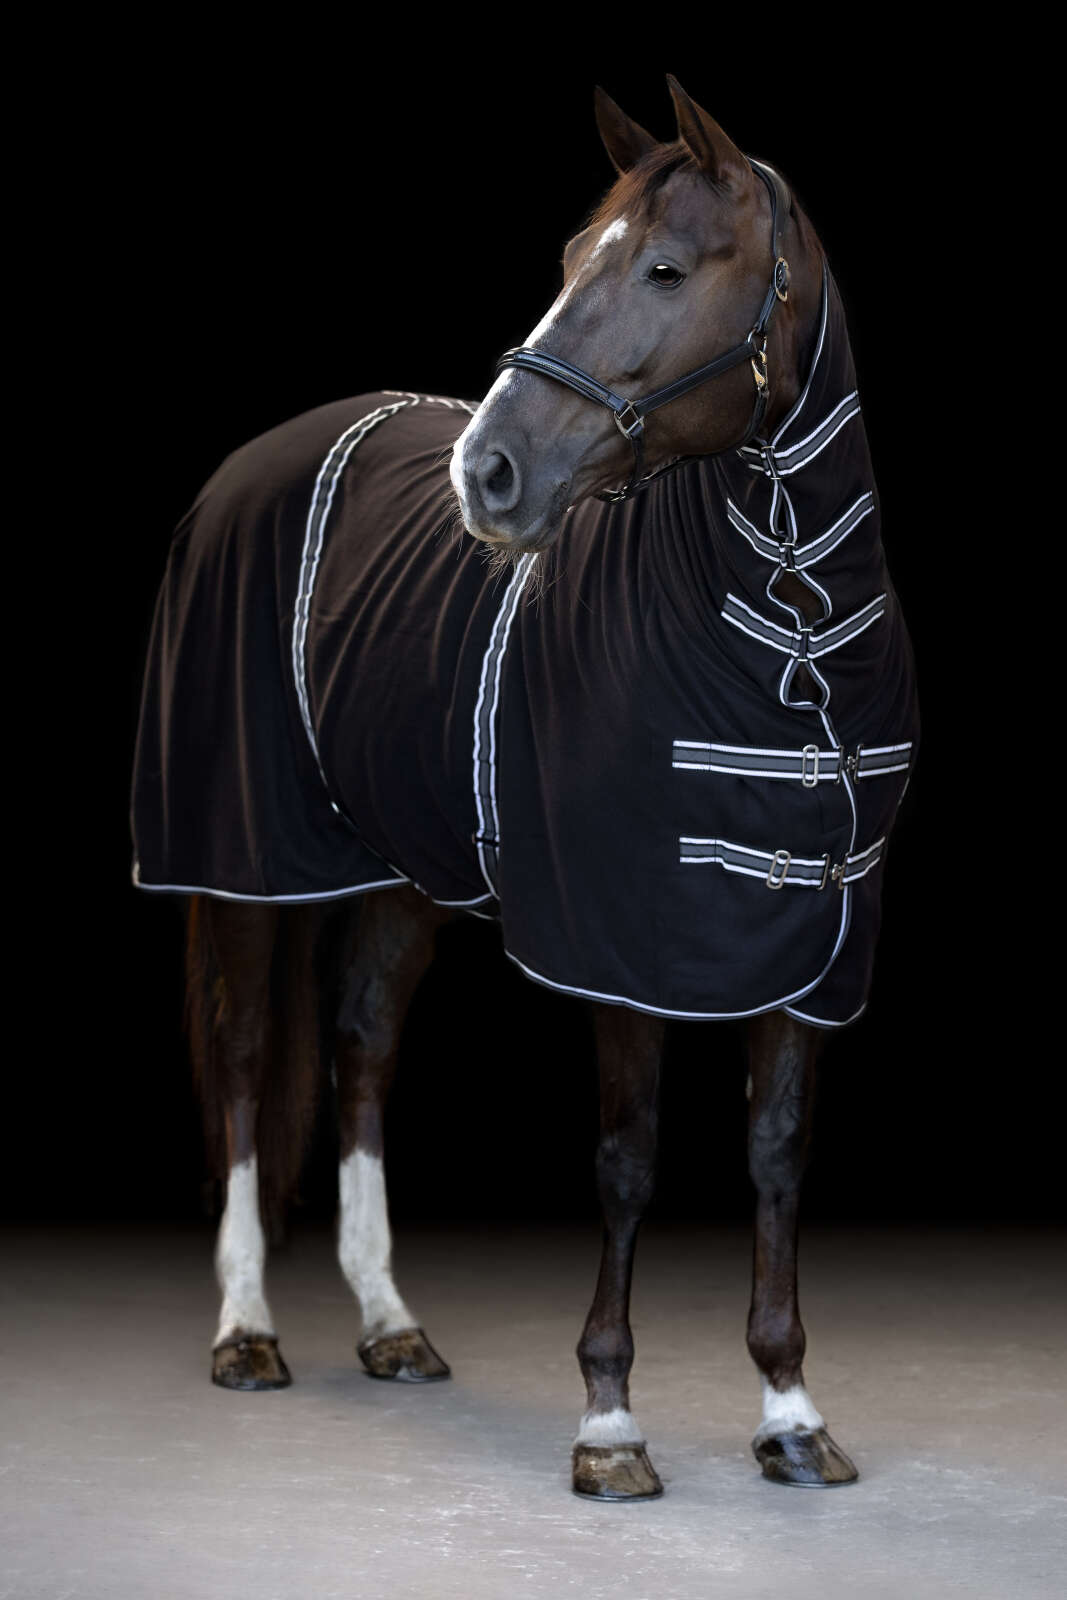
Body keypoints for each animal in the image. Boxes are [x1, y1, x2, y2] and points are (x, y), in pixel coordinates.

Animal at [130, 75, 918, 1500]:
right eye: (566, 260)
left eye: (664, 268)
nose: (485, 475)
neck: (793, 639)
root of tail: (257, 459)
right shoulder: (620, 941)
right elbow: (626, 1158)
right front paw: (608, 1423)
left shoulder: (819, 941)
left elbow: (775, 1152)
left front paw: (788, 1407)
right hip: (241, 859)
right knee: (244, 1067)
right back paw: (246, 1332)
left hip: (399, 871)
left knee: (360, 1048)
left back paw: (390, 1324)